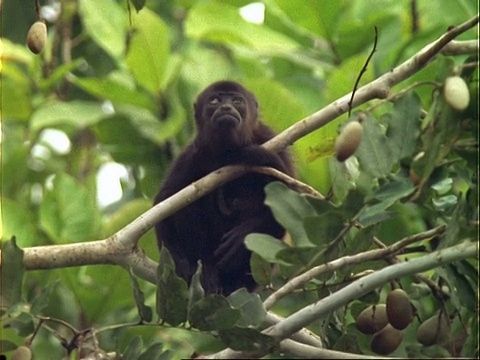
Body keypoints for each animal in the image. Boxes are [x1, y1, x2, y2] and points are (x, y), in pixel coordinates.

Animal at [156, 80, 294, 294]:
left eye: (237, 101)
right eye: (214, 101)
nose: (226, 107)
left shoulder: (270, 140)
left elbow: (289, 201)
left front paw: (242, 237)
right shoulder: (191, 155)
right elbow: (164, 205)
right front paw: (182, 264)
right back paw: (205, 269)